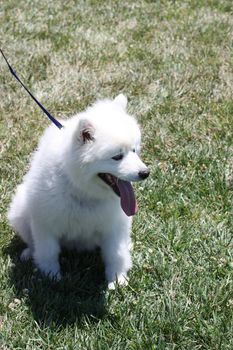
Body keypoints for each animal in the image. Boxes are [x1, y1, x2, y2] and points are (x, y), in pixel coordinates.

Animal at [7, 94, 149, 288]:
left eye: (134, 150)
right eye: (117, 157)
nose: (145, 173)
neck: (82, 190)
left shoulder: (114, 225)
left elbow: (116, 253)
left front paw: (117, 279)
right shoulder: (45, 224)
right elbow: (48, 252)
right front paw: (51, 276)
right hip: (20, 210)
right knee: (32, 241)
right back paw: (29, 253)